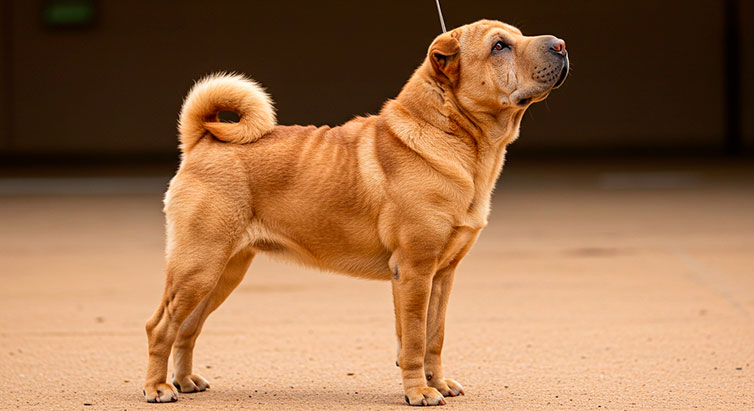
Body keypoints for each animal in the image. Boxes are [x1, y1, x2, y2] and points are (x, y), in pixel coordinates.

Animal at [142, 18, 564, 406]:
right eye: (498, 46)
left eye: (516, 36)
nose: (560, 44)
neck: (454, 136)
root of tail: (203, 141)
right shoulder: (414, 270)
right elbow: (414, 339)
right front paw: (419, 392)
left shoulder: (442, 274)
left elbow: (434, 337)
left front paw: (438, 383)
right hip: (199, 266)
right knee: (159, 326)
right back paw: (158, 388)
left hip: (224, 272)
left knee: (187, 327)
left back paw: (185, 381)